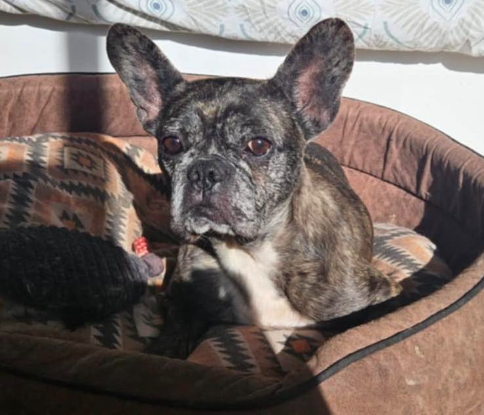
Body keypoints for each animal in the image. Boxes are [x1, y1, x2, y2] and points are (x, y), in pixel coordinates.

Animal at [107, 18, 402, 358]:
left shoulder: (379, 296)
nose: (204, 170)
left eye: (258, 145)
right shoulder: (182, 302)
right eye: (171, 143)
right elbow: (172, 340)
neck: (251, 250)